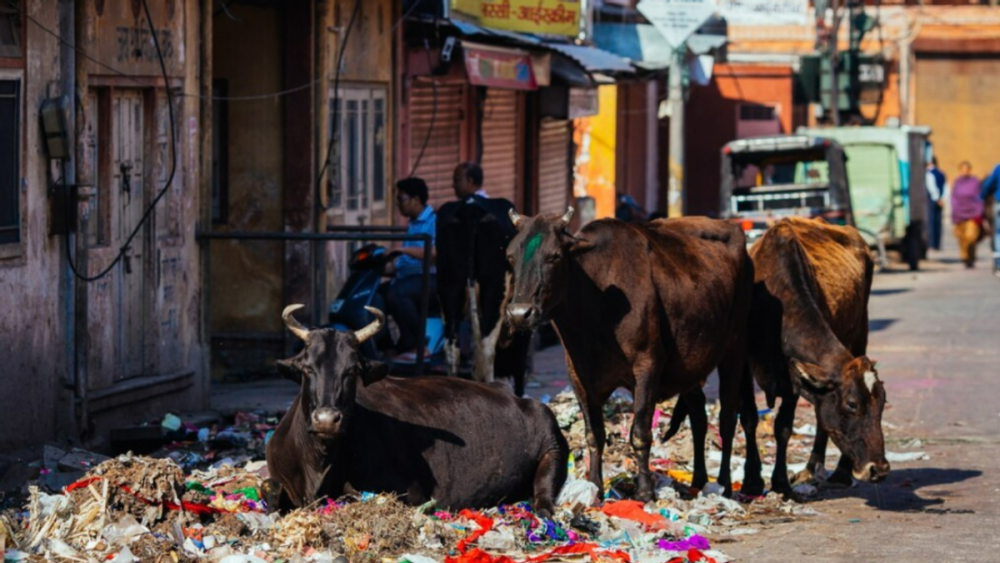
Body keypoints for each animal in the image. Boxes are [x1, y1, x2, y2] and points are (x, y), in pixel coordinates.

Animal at [264, 306, 572, 516]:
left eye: (352, 370)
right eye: (307, 368)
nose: (327, 421)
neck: (319, 462)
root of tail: (516, 395)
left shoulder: (411, 495)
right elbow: (270, 490)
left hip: (552, 446)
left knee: (544, 493)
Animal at [508, 209, 752, 500]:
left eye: (554, 255)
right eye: (510, 256)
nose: (519, 313)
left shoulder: (647, 366)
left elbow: (640, 433)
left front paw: (645, 490)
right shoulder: (577, 375)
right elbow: (594, 434)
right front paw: (595, 487)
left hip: (735, 349)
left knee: (727, 417)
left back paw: (724, 483)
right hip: (693, 363)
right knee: (699, 416)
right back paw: (699, 481)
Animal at [736, 216, 892, 494]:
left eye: (883, 402)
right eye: (852, 404)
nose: (879, 469)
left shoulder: (792, 379)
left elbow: (783, 427)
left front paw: (780, 481)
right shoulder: (744, 363)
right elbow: (749, 418)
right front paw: (752, 481)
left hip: (860, 332)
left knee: (821, 419)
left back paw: (835, 472)